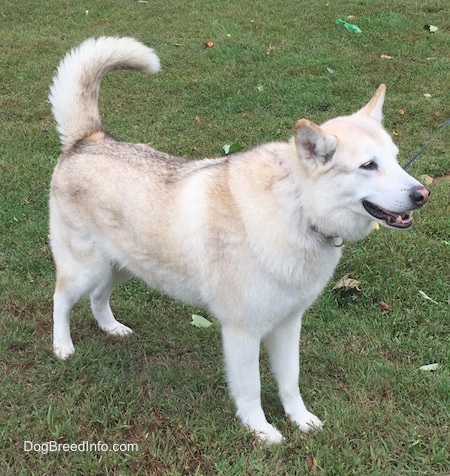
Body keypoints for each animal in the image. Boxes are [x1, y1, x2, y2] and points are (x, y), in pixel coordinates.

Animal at [48, 36, 428, 442]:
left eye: (396, 159)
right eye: (368, 166)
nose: (423, 194)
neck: (296, 209)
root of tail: (88, 139)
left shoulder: (288, 324)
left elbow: (290, 381)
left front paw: (301, 420)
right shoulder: (242, 332)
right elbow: (251, 389)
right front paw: (261, 431)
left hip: (122, 266)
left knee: (98, 298)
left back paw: (111, 328)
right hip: (85, 268)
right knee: (61, 299)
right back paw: (62, 347)